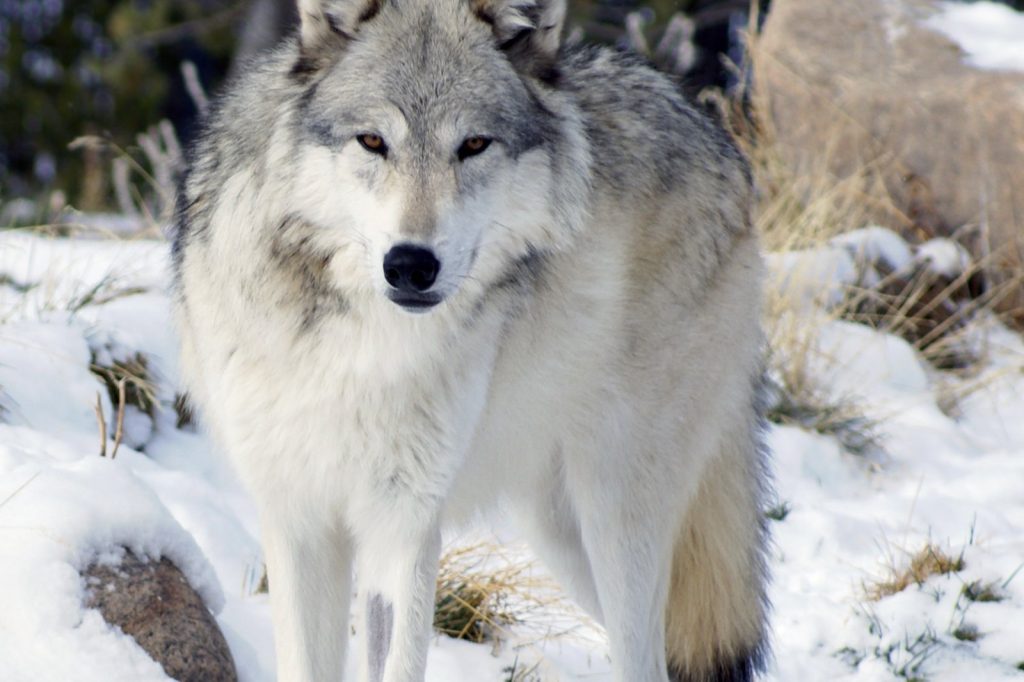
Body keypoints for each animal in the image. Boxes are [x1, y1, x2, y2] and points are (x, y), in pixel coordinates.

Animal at [172, 1, 770, 680]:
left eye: (474, 145)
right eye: (373, 141)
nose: (411, 264)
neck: (358, 350)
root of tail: (717, 138)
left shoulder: (407, 522)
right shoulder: (298, 519)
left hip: (615, 516)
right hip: (558, 530)